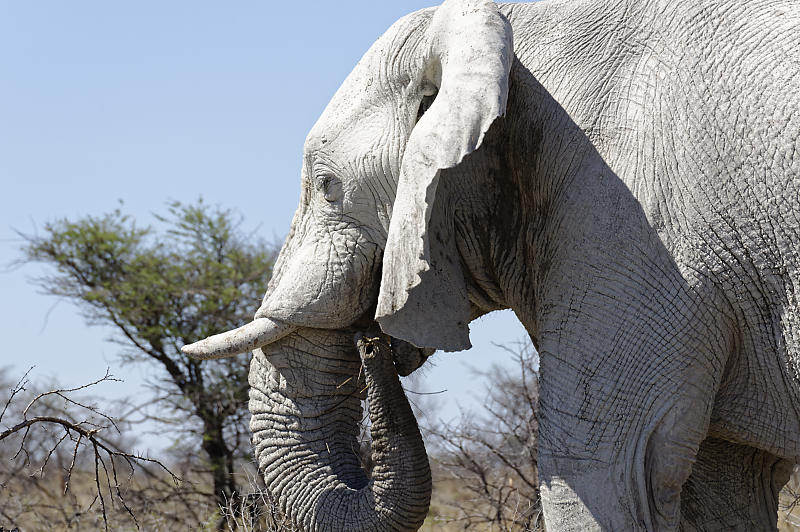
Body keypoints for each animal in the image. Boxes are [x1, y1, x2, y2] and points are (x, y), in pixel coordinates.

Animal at [181, 0, 800, 528]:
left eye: (329, 187)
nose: (372, 344)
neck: (502, 30)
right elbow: (720, 488)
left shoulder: (631, 226)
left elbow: (604, 470)